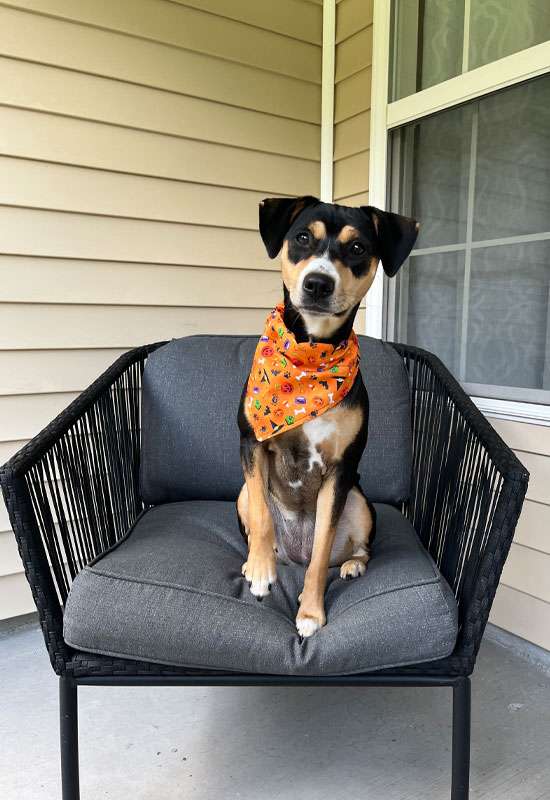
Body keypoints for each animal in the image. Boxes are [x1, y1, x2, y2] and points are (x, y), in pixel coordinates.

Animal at [236, 198, 418, 636]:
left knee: (354, 549)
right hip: (241, 494)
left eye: (357, 248)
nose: (318, 283)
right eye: (303, 237)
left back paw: (352, 565)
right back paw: (255, 562)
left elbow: (320, 554)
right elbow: (262, 518)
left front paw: (310, 612)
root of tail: (293, 555)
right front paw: (261, 571)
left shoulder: (340, 469)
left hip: (359, 501)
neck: (309, 361)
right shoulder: (251, 442)